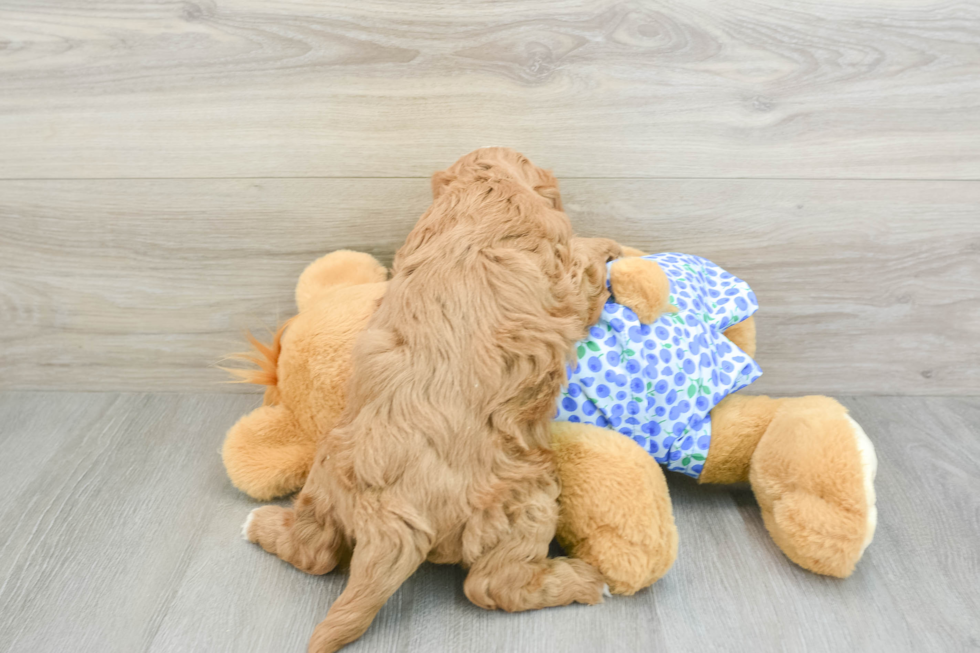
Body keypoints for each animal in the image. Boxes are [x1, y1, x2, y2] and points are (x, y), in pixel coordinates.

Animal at [249, 148, 624, 652]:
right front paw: (610, 247)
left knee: (315, 551)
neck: (482, 193)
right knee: (491, 586)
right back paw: (584, 580)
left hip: (322, 483)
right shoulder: (562, 267)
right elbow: (585, 264)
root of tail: (387, 522)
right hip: (527, 500)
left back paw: (260, 523)